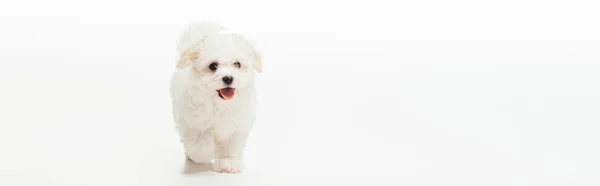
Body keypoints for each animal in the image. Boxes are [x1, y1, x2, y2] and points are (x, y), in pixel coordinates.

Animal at [170, 21, 262, 174]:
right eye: (213, 66)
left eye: (237, 64)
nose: (228, 78)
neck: (220, 104)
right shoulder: (192, 125)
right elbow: (200, 145)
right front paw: (205, 152)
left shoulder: (237, 127)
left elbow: (230, 148)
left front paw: (228, 163)